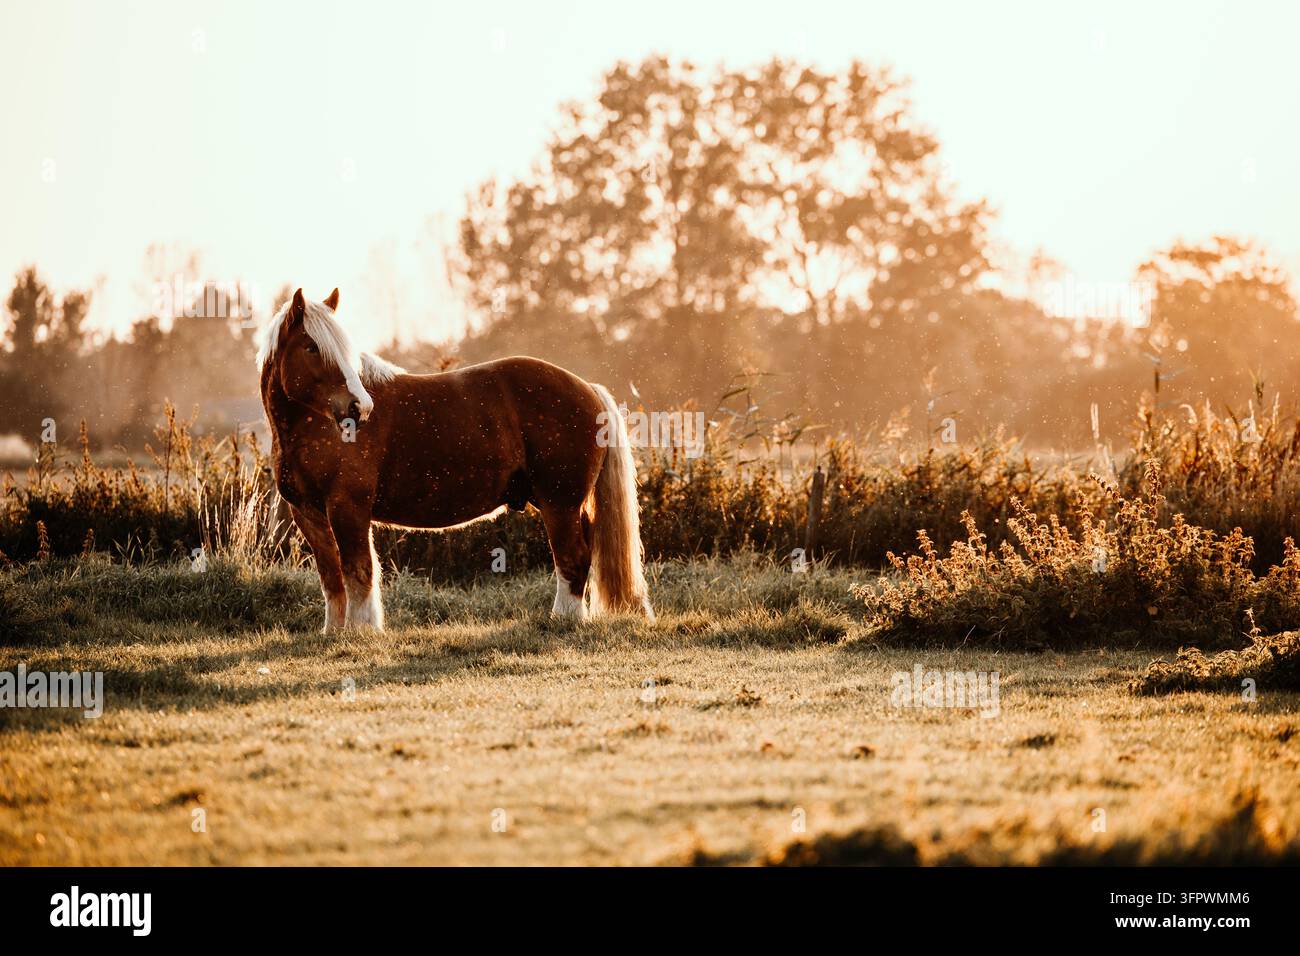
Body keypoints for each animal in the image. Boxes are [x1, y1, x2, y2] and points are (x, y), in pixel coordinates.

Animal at [256, 288, 654, 632]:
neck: (312, 427)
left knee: (573, 558)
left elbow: (359, 571)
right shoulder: (308, 514)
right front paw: (335, 632)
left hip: (560, 504)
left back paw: (564, 620)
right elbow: (332, 576)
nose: (360, 408)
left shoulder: (348, 508)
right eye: (310, 347)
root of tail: (590, 390)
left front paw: (362, 631)